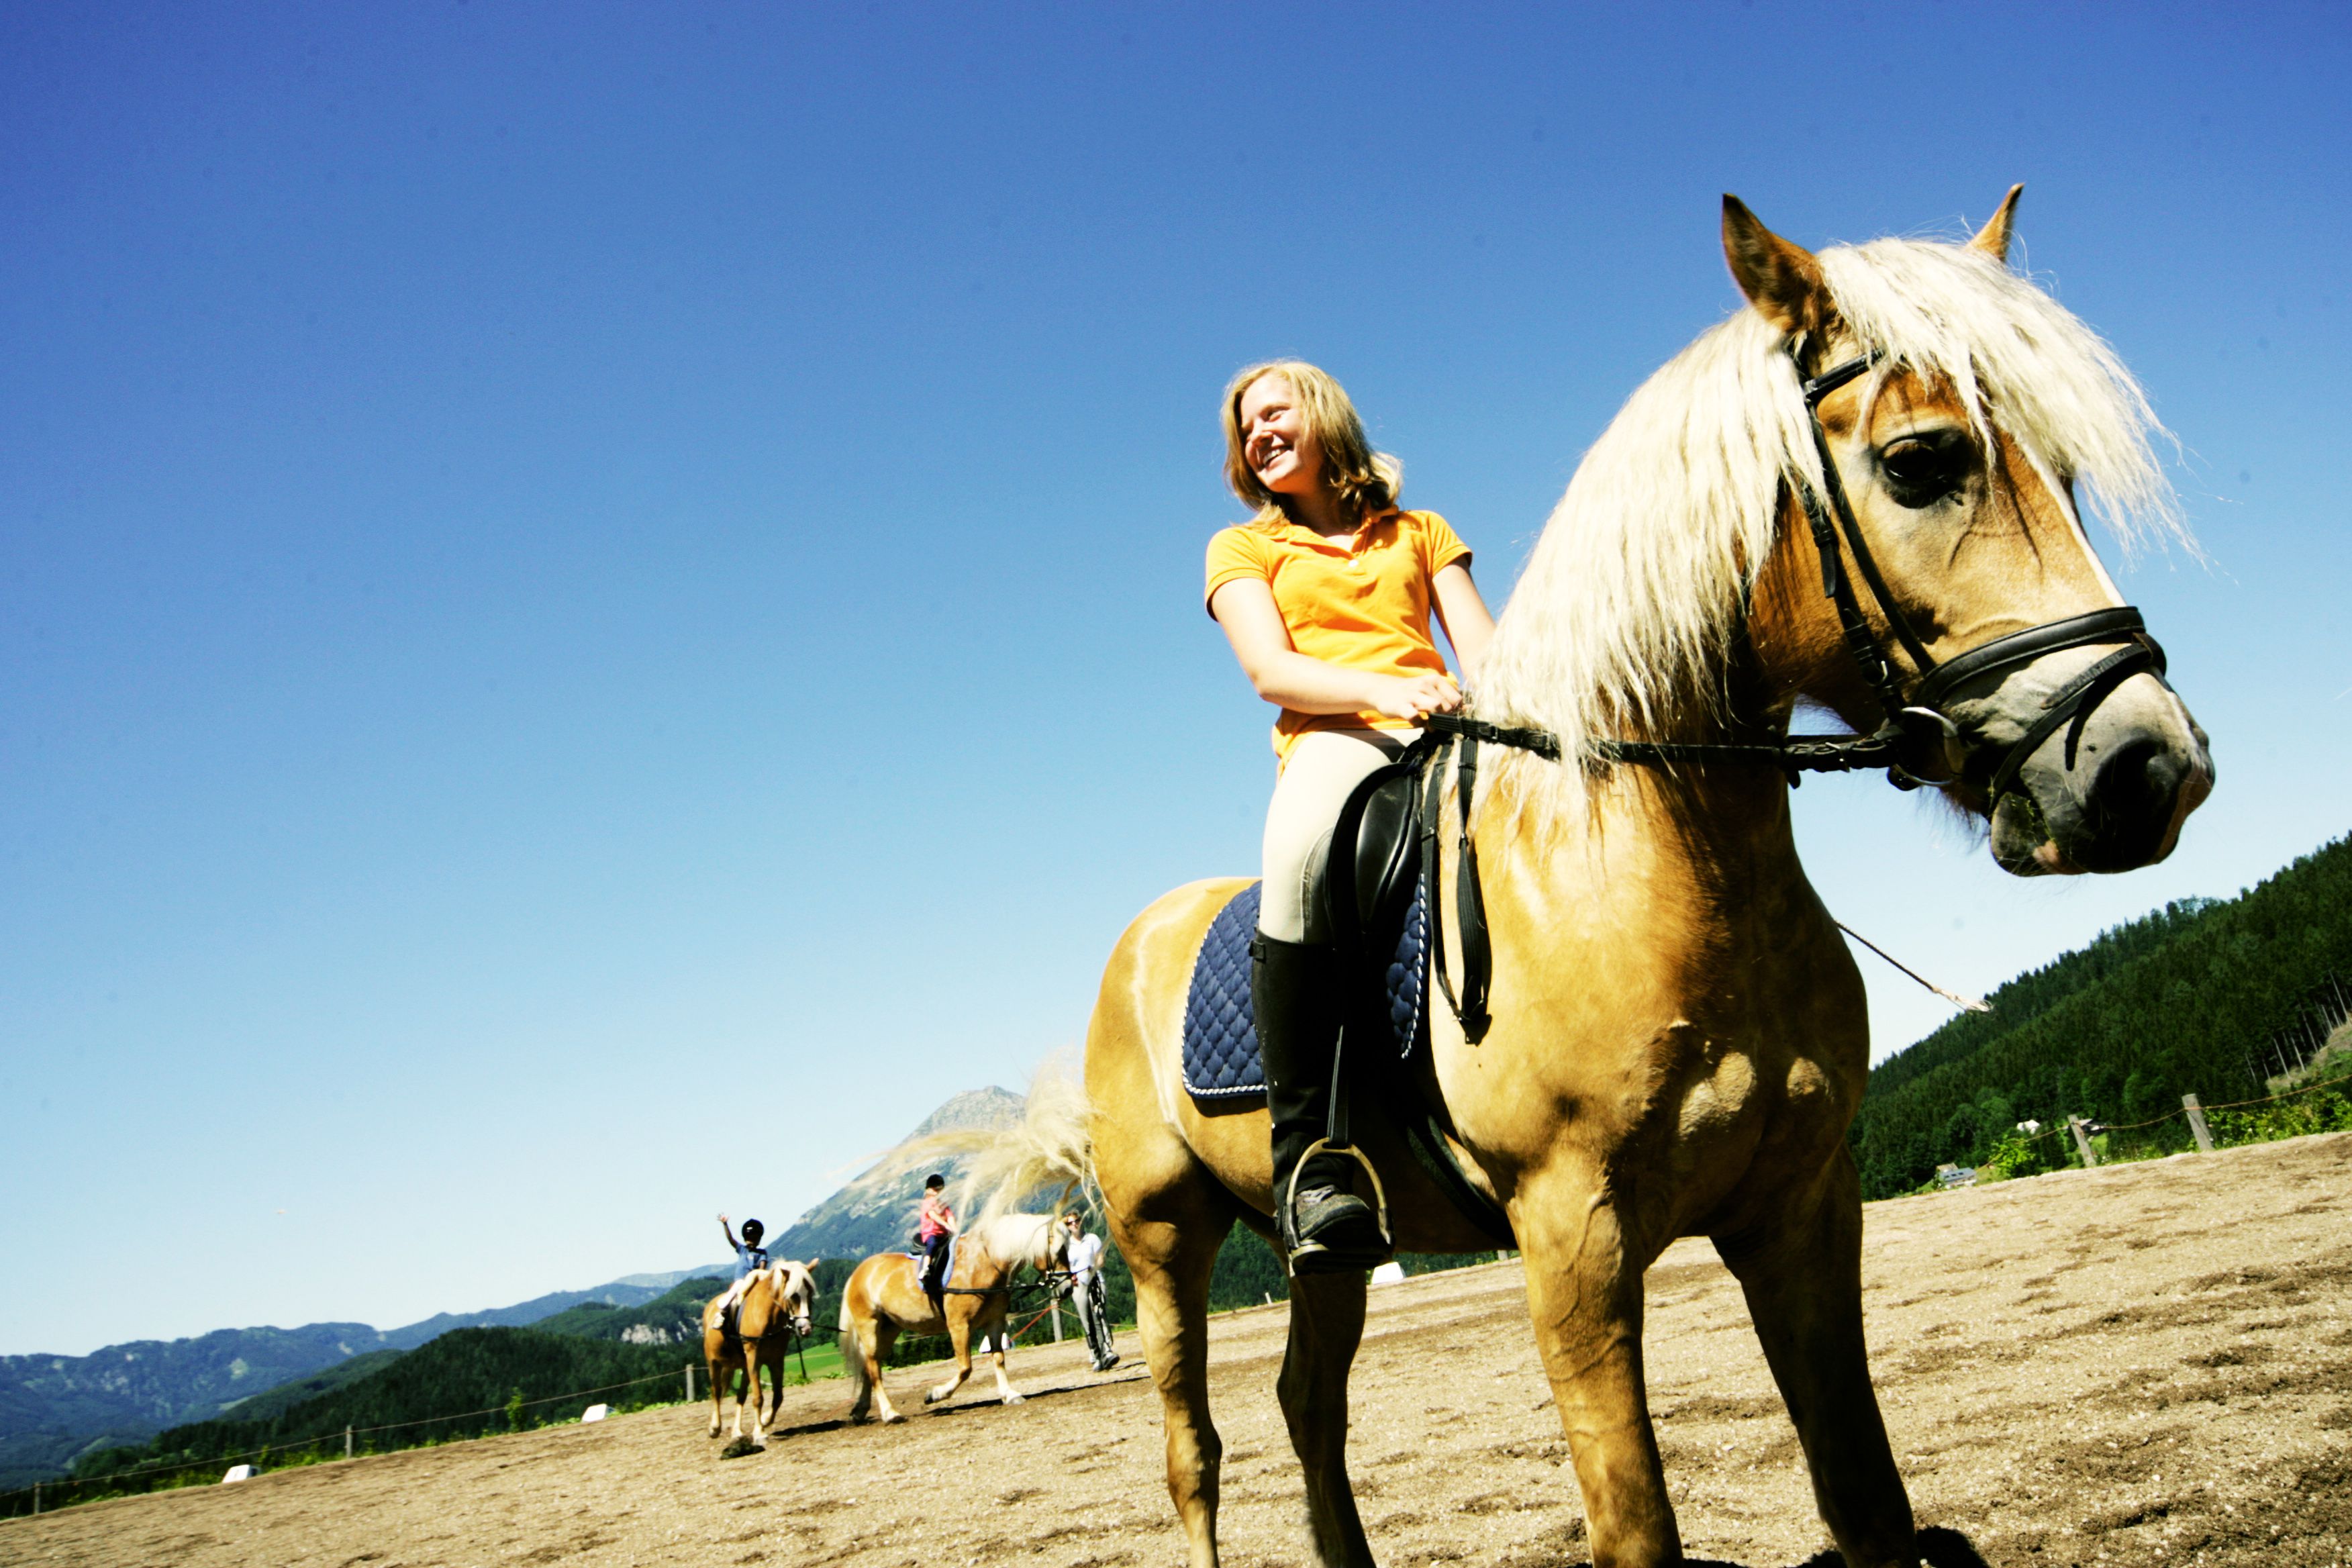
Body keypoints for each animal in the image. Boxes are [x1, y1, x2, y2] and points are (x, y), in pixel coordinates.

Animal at [700, 1261, 816, 1450]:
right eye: (793, 1296)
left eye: (811, 1294)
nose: (805, 1328)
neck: (767, 1315)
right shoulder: (754, 1358)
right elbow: (758, 1398)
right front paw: (759, 1433)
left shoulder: (776, 1360)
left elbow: (778, 1396)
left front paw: (765, 1420)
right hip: (714, 1362)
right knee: (716, 1392)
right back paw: (715, 1428)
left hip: (743, 1366)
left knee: (740, 1396)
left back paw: (737, 1432)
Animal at [837, 1213, 1070, 1424]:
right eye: (1059, 1250)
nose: (1067, 1287)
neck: (983, 1263)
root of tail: (857, 1273)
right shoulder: (959, 1326)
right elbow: (966, 1368)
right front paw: (935, 1394)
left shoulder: (995, 1322)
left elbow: (998, 1358)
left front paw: (1009, 1394)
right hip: (869, 1326)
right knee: (874, 1369)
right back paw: (890, 1413)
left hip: (889, 1329)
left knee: (870, 1365)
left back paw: (860, 1410)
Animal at [1072, 190, 2213, 1568]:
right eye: (1918, 462)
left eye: (2067, 472)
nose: (2146, 766)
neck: (1657, 880)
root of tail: (1143, 935)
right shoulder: (1570, 1242)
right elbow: (1636, 1529)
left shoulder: (1802, 1212)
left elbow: (1867, 1499)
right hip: (1160, 1241)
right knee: (1194, 1449)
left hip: (1324, 1256)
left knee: (1308, 1406)